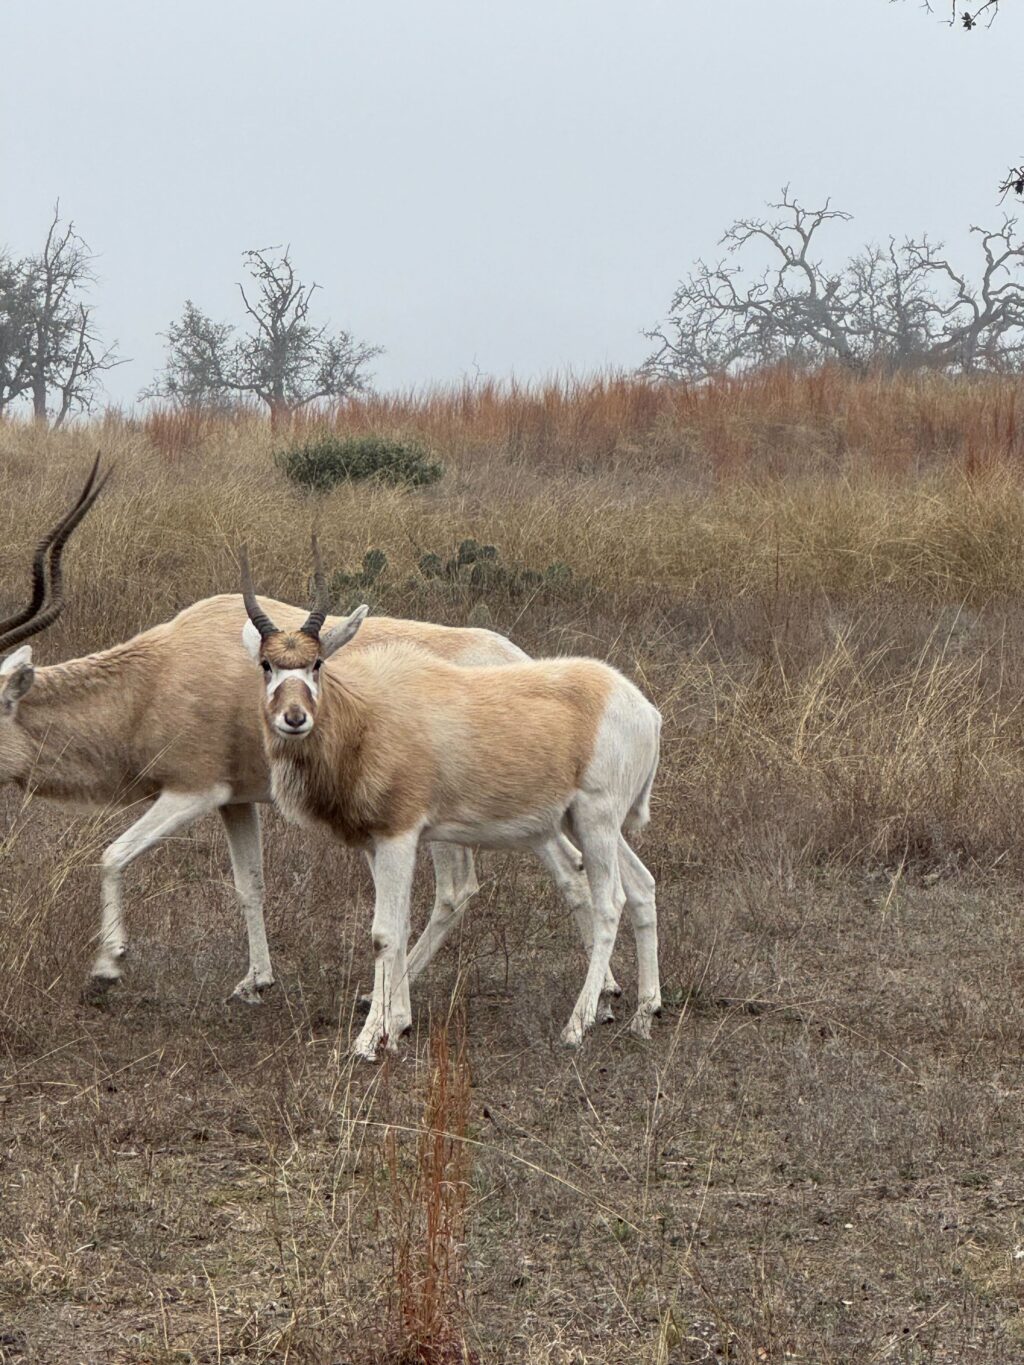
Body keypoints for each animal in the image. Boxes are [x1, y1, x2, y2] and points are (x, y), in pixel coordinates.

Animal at [0, 466, 606, 1004]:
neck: (157, 674)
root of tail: (519, 661)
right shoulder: (235, 801)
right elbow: (249, 884)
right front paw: (255, 982)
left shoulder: (192, 791)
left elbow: (112, 855)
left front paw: (107, 968)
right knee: (570, 868)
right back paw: (608, 995)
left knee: (464, 889)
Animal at [240, 543, 666, 1053]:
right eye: (267, 665)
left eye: (317, 663)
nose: (294, 718)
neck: (369, 714)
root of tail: (643, 710)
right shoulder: (376, 843)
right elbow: (399, 927)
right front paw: (395, 1023)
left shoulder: (401, 837)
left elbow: (384, 934)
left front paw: (369, 1040)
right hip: (583, 823)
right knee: (642, 887)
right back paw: (644, 1014)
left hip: (596, 820)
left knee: (610, 903)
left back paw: (576, 1026)